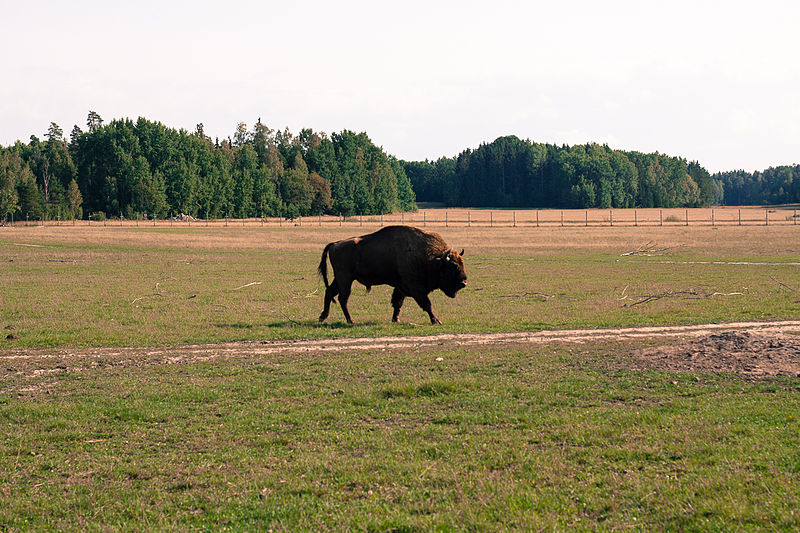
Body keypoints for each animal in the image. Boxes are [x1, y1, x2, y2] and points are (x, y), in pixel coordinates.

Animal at [318, 224, 466, 324]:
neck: (433, 259)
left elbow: (397, 303)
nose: (463, 282)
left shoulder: (400, 287)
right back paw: (350, 321)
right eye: (452, 266)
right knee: (343, 298)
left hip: (339, 279)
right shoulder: (415, 288)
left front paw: (396, 319)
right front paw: (436, 320)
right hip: (345, 279)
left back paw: (322, 317)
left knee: (330, 292)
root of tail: (334, 244)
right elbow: (426, 304)